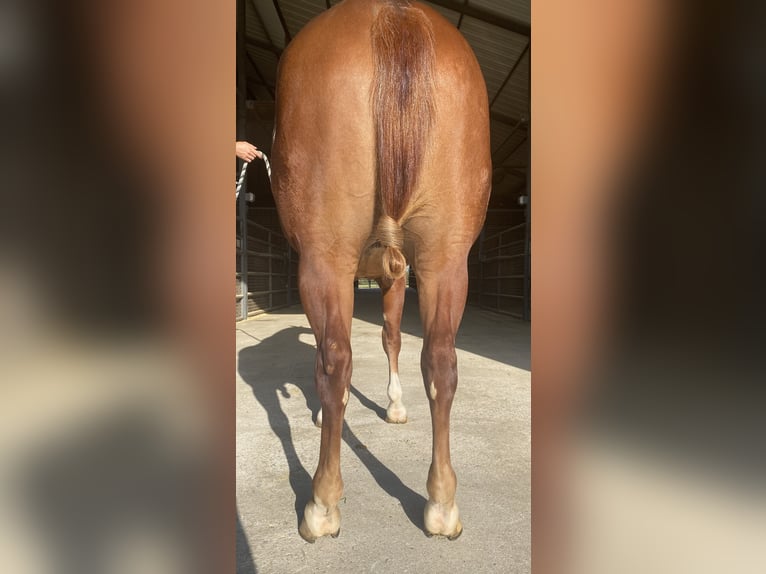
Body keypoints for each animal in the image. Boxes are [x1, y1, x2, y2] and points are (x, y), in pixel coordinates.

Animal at [271, 0, 491, 542]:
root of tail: (395, 17)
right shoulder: (399, 273)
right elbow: (393, 338)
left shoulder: (371, 274)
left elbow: (368, 342)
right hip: (445, 258)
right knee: (441, 361)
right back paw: (441, 505)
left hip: (325, 259)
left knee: (334, 361)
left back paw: (321, 504)